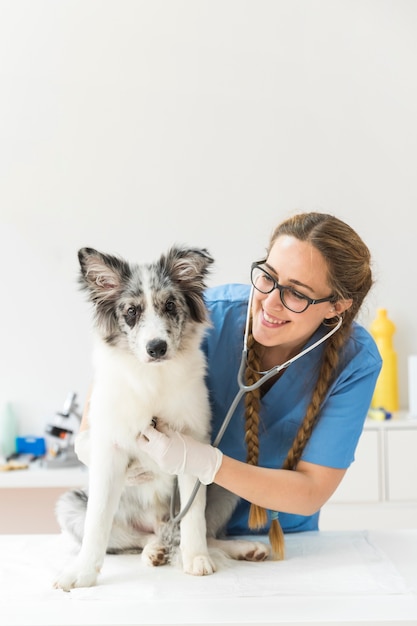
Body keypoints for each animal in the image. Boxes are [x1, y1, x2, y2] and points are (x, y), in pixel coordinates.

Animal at [53, 245, 268, 588]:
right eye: (131, 311)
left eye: (169, 305)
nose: (157, 348)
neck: (152, 379)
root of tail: (160, 525)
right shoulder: (107, 452)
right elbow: (96, 525)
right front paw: (80, 573)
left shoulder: (193, 446)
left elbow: (194, 520)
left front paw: (196, 560)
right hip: (70, 506)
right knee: (135, 539)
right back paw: (154, 550)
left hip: (227, 482)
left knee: (204, 533)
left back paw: (242, 548)